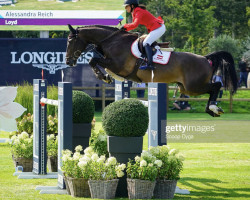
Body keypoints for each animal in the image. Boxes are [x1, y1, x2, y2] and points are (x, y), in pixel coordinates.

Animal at [65, 24, 237, 117]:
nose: (68, 61)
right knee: (212, 88)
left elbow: (93, 60)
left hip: (193, 86)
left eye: (70, 41)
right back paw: (212, 109)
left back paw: (213, 108)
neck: (113, 40)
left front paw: (103, 76)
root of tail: (205, 58)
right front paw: (106, 76)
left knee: (216, 86)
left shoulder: (118, 65)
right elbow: (95, 61)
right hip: (186, 88)